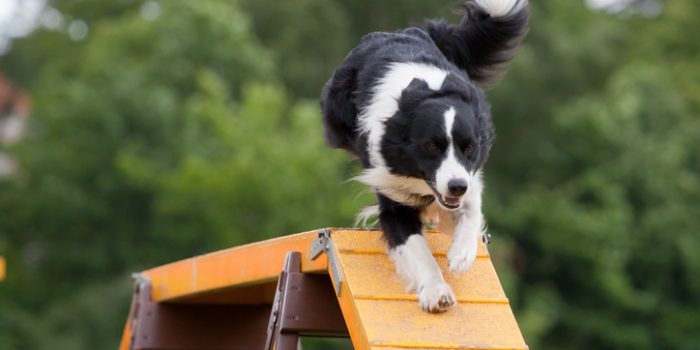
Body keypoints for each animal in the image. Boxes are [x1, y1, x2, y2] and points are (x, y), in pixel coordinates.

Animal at [320, 0, 528, 312]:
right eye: (432, 147)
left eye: (469, 148)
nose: (456, 186)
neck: (430, 93)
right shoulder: (389, 186)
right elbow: (415, 246)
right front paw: (436, 292)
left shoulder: (469, 176)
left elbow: (470, 210)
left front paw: (461, 255)